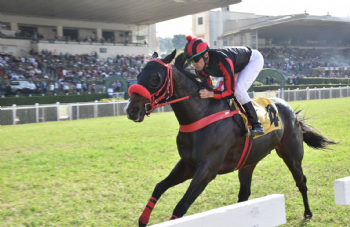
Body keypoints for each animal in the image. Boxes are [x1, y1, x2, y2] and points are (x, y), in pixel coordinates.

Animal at [126, 50, 336, 226]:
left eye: (155, 77)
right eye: (137, 75)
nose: (131, 110)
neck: (201, 114)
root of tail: (290, 109)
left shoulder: (207, 169)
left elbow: (181, 205)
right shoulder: (187, 164)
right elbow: (159, 187)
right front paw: (142, 220)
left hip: (291, 154)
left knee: (301, 181)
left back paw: (308, 213)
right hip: (249, 161)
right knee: (244, 194)